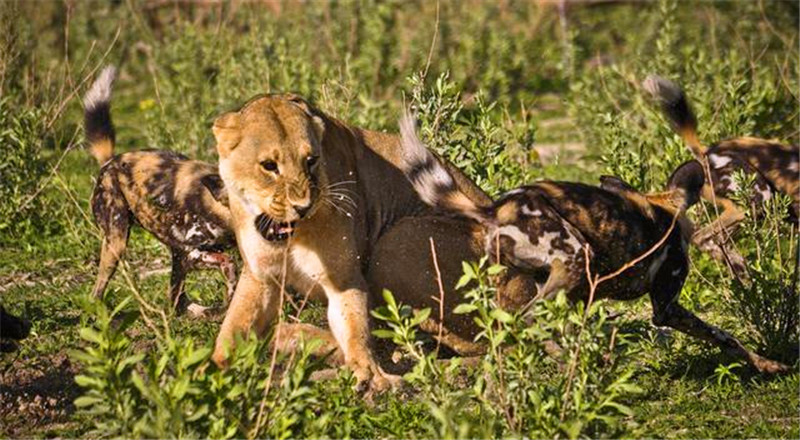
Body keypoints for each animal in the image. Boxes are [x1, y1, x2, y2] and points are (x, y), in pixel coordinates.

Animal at [88, 66, 239, 316]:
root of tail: (109, 162)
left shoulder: (183, 255)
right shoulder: (190, 253)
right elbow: (229, 262)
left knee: (177, 300)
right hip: (116, 243)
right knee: (97, 292)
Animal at [398, 111, 788, 372]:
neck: (665, 208)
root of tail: (496, 208)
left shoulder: (580, 295)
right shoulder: (666, 308)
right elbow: (724, 336)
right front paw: (766, 364)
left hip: (545, 277)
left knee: (520, 323)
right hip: (574, 258)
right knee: (530, 318)